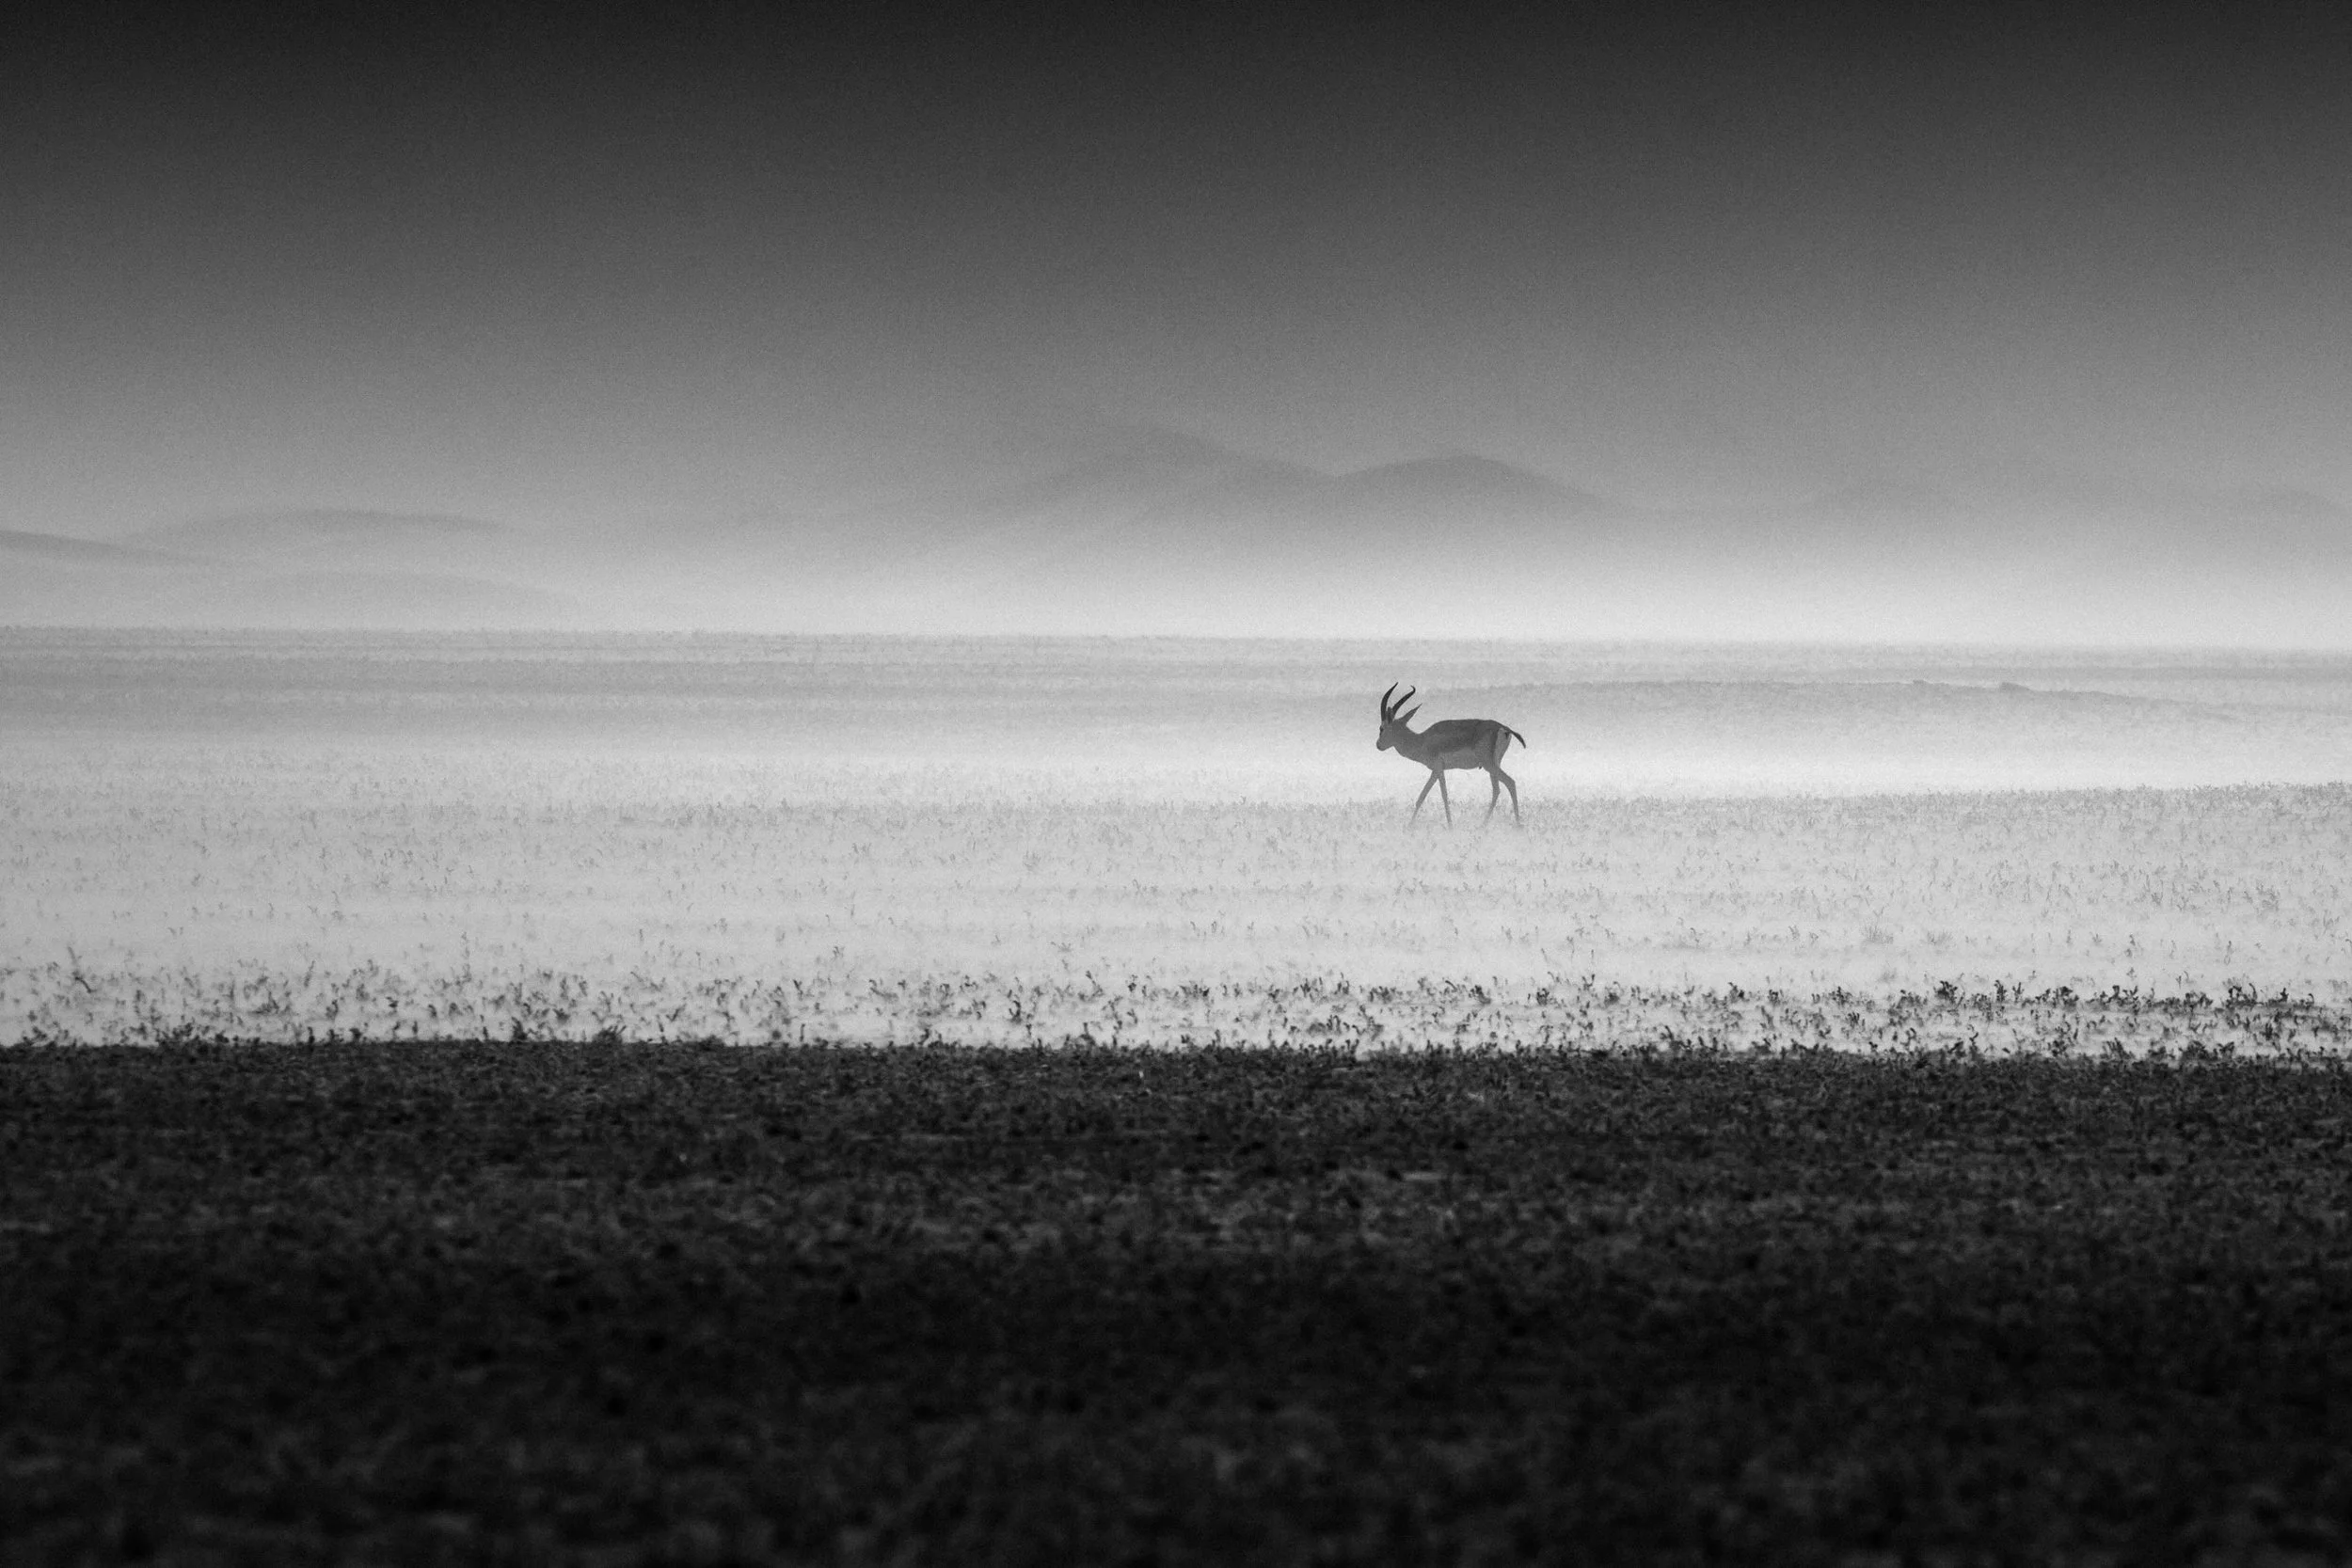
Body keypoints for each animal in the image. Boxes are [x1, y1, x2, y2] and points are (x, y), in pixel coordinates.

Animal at [1377, 683, 1526, 826]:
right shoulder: (1438, 770)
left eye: (1381, 728)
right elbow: (1426, 796)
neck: (1422, 740)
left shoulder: (1437, 768)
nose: (1378, 745)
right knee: (1496, 790)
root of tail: (1502, 727)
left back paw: (1518, 825)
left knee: (1510, 782)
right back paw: (1483, 826)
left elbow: (1439, 795)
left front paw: (1447, 826)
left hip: (1489, 764)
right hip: (1494, 764)